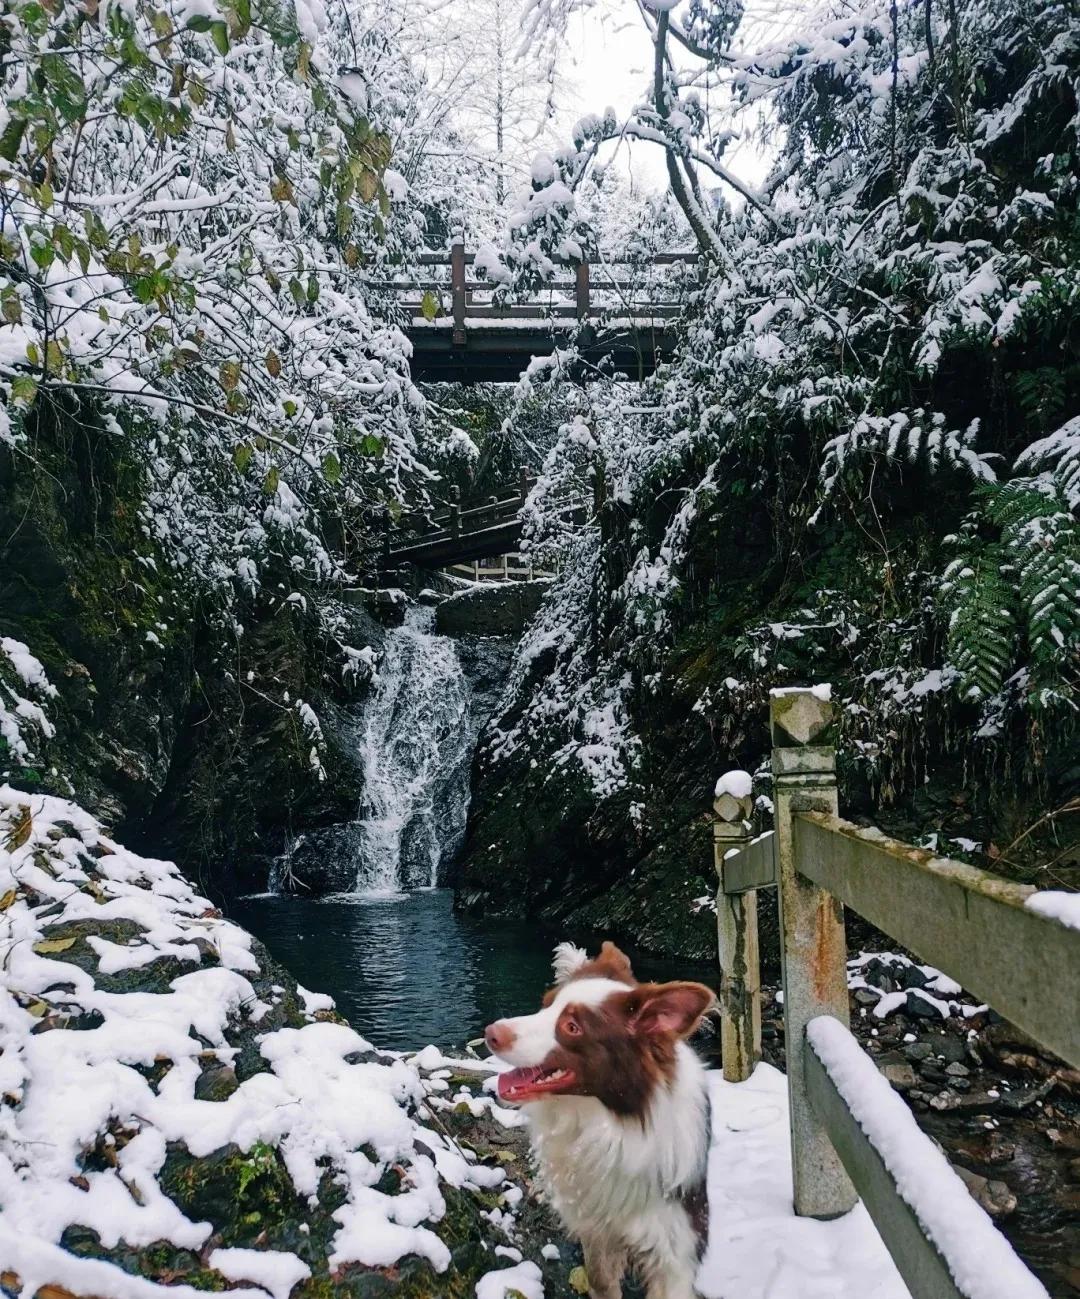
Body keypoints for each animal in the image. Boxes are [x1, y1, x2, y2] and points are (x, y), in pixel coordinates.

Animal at [486, 945, 712, 1299]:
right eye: (545, 1004)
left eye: (572, 1027)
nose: (490, 1034)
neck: (608, 1123)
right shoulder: (598, 1234)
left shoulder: (675, 1250)